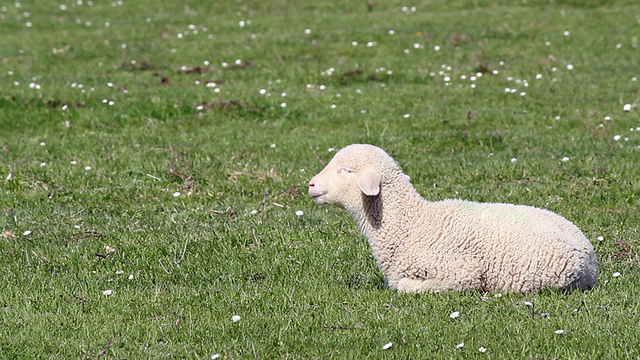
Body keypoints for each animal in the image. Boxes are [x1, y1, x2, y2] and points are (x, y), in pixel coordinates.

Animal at [308, 143, 596, 292]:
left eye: (346, 170)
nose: (310, 184)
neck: (412, 224)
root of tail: (590, 258)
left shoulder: (463, 272)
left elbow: (403, 285)